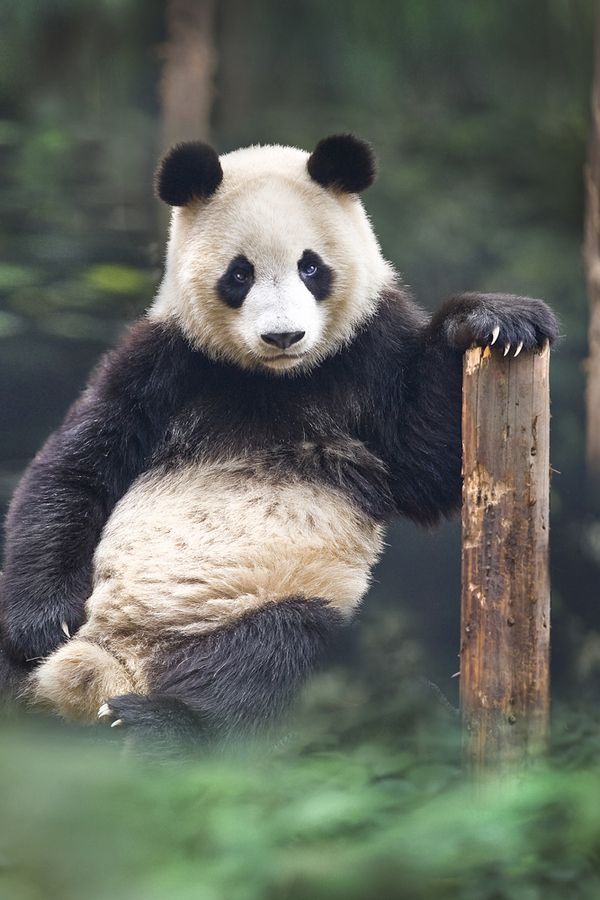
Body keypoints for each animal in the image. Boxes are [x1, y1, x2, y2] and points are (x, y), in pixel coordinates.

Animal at [0, 132, 556, 740]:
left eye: (311, 267)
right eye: (239, 274)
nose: (283, 335)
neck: (272, 379)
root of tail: (107, 673)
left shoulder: (368, 355)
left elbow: (426, 458)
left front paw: (498, 320)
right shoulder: (165, 360)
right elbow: (76, 466)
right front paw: (43, 623)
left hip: (260, 606)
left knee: (271, 656)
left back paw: (161, 724)